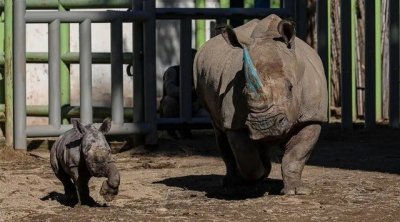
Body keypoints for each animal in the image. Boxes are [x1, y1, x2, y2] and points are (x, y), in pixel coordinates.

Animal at [195, 14, 328, 194]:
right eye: (244, 93)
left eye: (290, 88)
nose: (265, 127)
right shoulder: (234, 122)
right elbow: (248, 160)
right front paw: (260, 174)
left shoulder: (312, 115)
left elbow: (295, 156)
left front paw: (295, 191)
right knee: (219, 131)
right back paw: (232, 183)